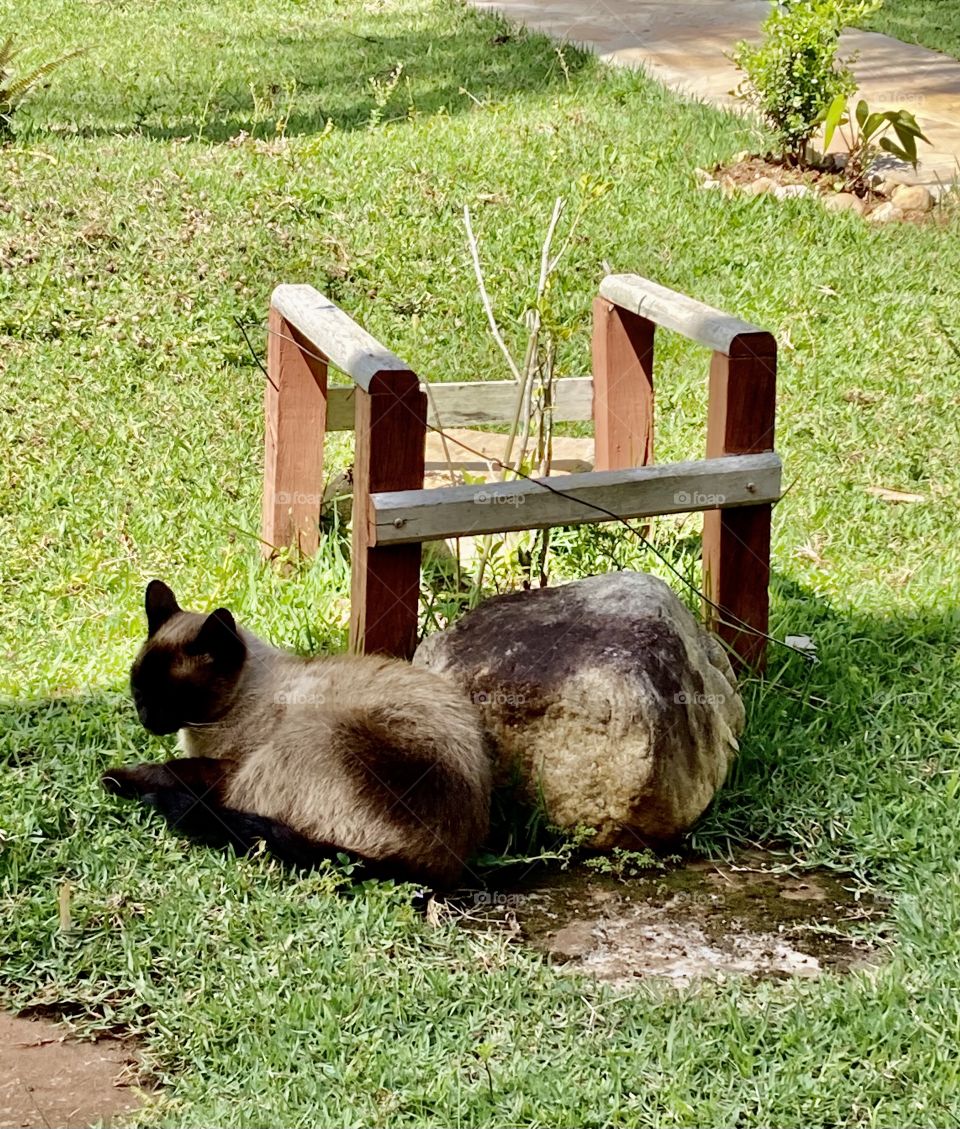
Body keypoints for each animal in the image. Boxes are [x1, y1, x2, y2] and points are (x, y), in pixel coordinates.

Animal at [102, 582, 494, 889]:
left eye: (172, 695)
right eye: (138, 687)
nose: (146, 718)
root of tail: (442, 866)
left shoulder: (226, 768)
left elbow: (168, 768)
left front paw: (116, 778)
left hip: (307, 736)